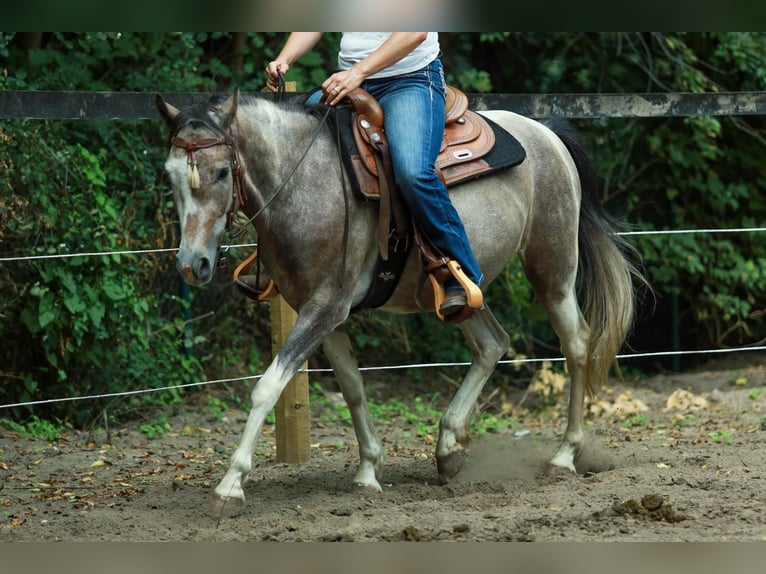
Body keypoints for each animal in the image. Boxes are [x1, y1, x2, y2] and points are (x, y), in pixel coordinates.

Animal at [156, 88, 644, 517]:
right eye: (170, 174)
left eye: (222, 172)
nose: (192, 264)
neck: (306, 182)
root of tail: (545, 133)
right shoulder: (325, 314)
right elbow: (352, 387)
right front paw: (369, 471)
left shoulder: (323, 308)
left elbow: (267, 388)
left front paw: (229, 486)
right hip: (459, 290)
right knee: (492, 342)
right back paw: (448, 449)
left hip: (553, 268)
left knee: (576, 344)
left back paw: (564, 456)